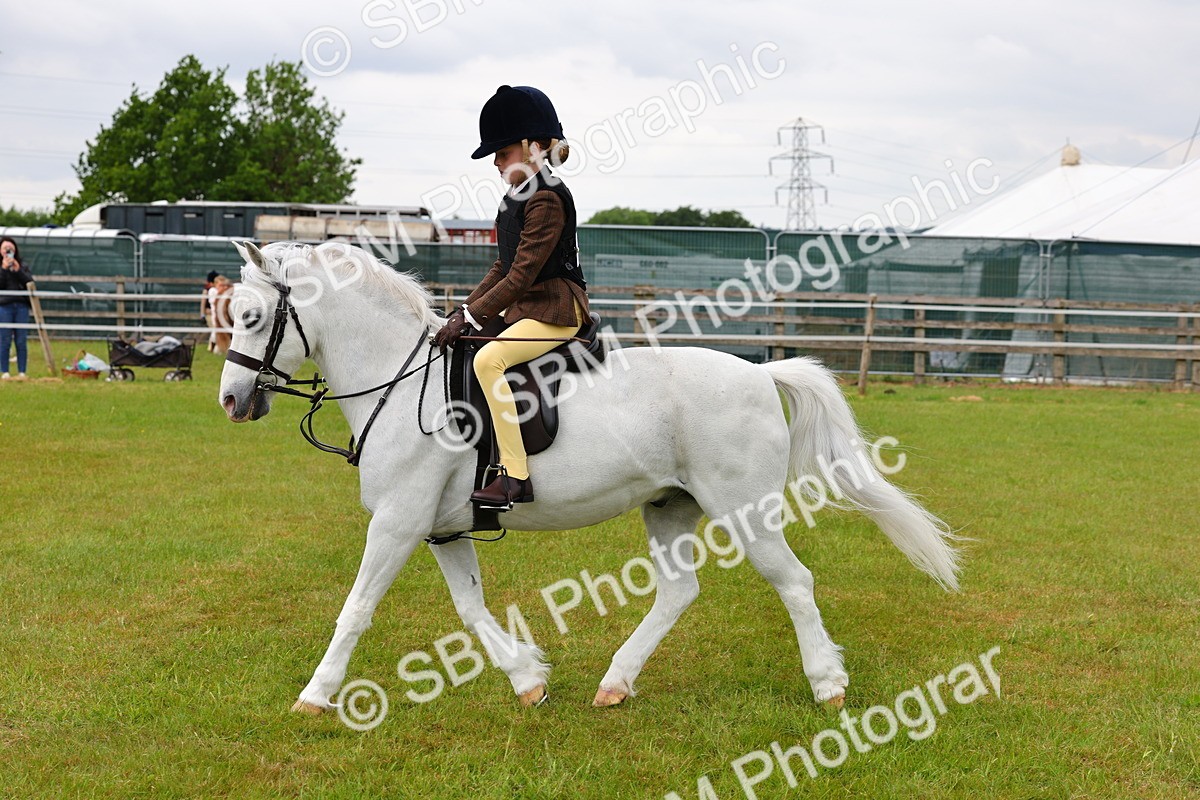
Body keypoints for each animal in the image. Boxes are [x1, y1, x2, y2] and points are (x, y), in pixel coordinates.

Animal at [217, 240, 960, 713]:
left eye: (251, 317)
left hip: (744, 510)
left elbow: (357, 609)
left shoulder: (397, 524)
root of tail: (760, 371)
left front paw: (315, 696)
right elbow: (471, 610)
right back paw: (615, 684)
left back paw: (828, 685)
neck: (400, 384)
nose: (231, 401)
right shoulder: (440, 530)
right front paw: (527, 680)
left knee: (795, 583)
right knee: (678, 592)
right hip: (669, 506)